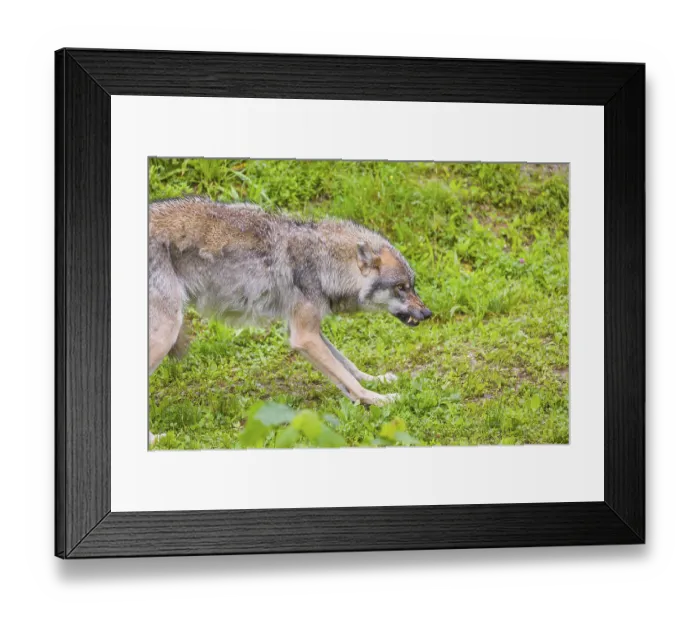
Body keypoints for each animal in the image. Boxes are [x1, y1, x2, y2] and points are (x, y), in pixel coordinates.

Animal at [149, 196, 432, 406]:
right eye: (400, 288)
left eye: (412, 286)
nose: (428, 313)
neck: (322, 262)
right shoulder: (304, 337)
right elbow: (347, 378)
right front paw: (378, 399)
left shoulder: (304, 329)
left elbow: (346, 365)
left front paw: (377, 380)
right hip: (167, 333)